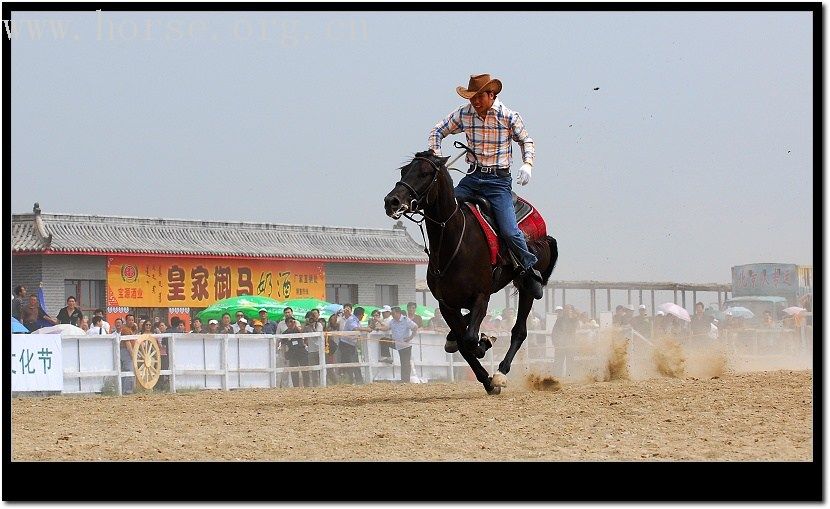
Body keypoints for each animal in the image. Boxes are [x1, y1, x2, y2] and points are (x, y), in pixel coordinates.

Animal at [386, 149, 560, 394]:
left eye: (425, 173)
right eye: (404, 171)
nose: (391, 201)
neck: (454, 243)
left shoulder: (481, 296)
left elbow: (469, 339)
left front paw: (485, 345)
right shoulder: (446, 304)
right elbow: (462, 342)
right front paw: (485, 378)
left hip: (525, 286)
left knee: (520, 330)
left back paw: (500, 373)